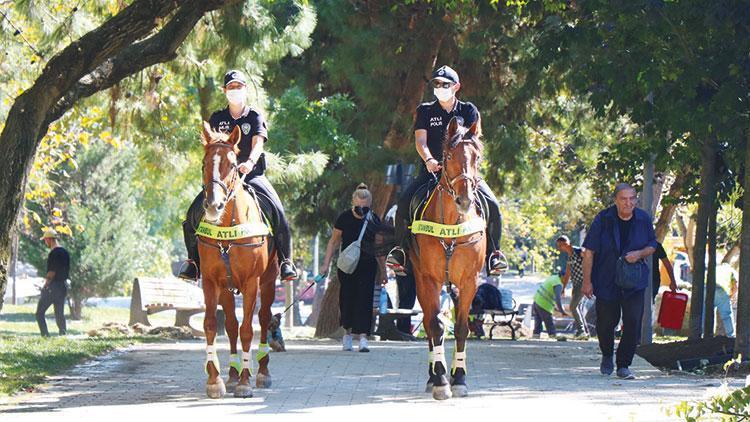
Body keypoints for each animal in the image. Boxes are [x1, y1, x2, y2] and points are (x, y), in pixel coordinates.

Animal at [198, 123, 280, 398]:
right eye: (204, 163)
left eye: (233, 165)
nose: (213, 205)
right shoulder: (211, 282)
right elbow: (212, 325)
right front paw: (215, 380)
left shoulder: (251, 283)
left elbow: (247, 330)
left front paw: (245, 382)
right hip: (226, 288)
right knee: (231, 325)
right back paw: (233, 374)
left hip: (268, 282)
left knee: (264, 319)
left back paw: (262, 372)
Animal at [412, 117, 488, 400]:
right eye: (447, 156)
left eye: (478, 156)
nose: (464, 200)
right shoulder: (429, 279)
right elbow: (434, 325)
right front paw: (441, 380)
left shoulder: (469, 282)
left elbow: (462, 327)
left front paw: (460, 378)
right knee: (428, 321)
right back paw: (433, 375)